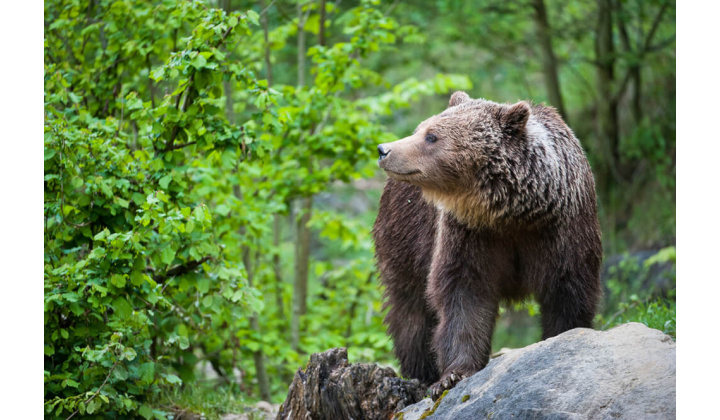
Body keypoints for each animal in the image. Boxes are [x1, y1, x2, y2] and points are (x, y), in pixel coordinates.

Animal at [372, 90, 600, 398]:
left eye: (431, 136)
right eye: (421, 129)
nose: (384, 149)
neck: (513, 214)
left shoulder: (563, 229)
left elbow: (568, 289)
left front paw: (563, 338)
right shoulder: (469, 234)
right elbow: (465, 294)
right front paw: (452, 375)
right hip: (404, 237)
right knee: (411, 309)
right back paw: (421, 371)